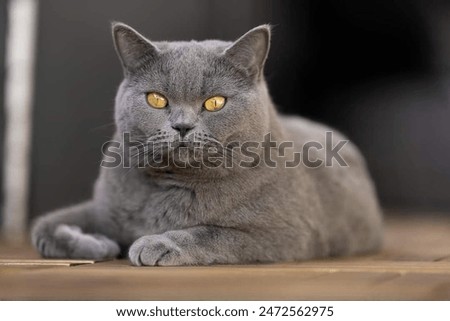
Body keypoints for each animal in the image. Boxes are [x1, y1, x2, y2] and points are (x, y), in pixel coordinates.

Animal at [31, 23, 382, 264]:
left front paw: (153, 243)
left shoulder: (283, 234)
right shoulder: (104, 205)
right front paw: (99, 243)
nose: (182, 126)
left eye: (215, 102)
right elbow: (44, 226)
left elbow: (211, 233)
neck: (170, 185)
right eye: (156, 99)